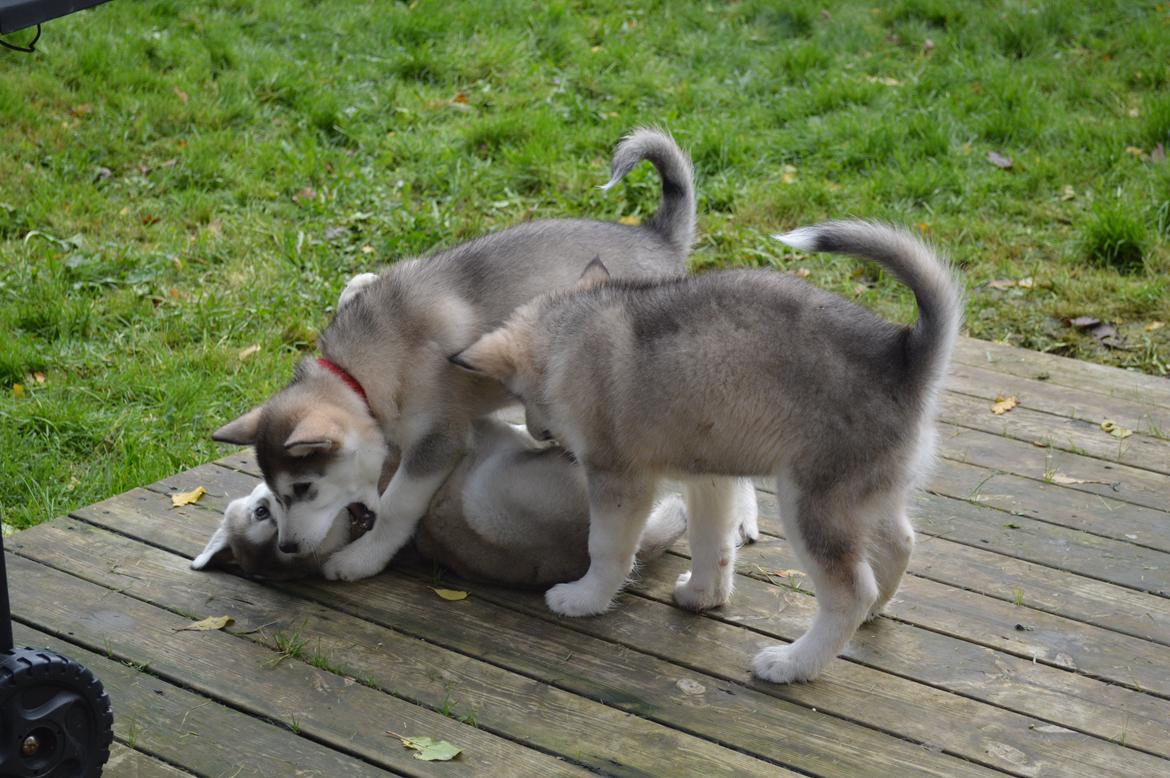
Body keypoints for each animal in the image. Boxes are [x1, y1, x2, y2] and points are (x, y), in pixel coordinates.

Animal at [208, 127, 739, 580]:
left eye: (302, 489)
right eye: (274, 499)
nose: (290, 547)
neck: (362, 374)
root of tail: (655, 236)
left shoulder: (438, 442)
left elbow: (396, 506)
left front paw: (361, 560)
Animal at [446, 218, 959, 678]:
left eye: (521, 396)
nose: (538, 432)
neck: (570, 337)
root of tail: (903, 357)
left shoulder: (619, 480)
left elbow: (607, 548)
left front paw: (584, 598)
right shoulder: (711, 476)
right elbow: (711, 542)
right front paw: (703, 596)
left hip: (813, 505)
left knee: (851, 592)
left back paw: (794, 663)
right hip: (865, 496)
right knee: (900, 543)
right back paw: (874, 611)